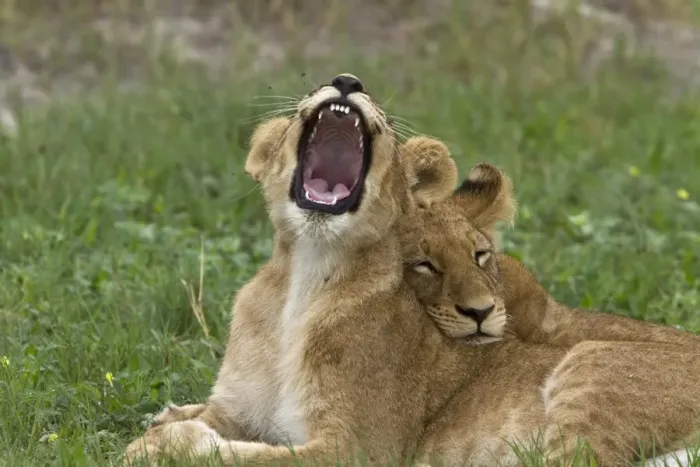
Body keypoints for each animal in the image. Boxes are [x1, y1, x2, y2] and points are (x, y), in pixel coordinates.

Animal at [124, 75, 700, 467]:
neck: (304, 277)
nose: (346, 80)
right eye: (422, 264)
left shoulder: (357, 449)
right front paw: (159, 428)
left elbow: (248, 456)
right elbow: (212, 422)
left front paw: (164, 442)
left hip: (591, 363)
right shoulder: (240, 408)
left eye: (478, 256)